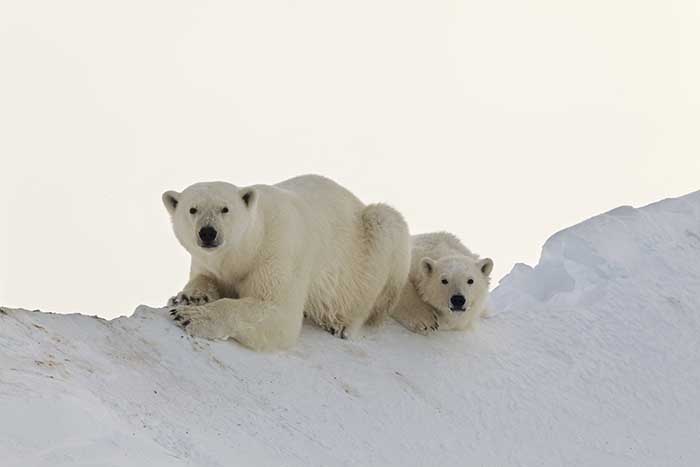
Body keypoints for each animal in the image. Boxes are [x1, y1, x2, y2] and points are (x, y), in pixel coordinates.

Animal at [163, 175, 410, 352]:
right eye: (192, 209)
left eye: (225, 209)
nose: (208, 232)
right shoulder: (207, 262)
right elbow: (204, 276)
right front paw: (188, 297)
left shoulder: (278, 248)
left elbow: (278, 310)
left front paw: (189, 316)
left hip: (367, 248)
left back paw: (341, 323)